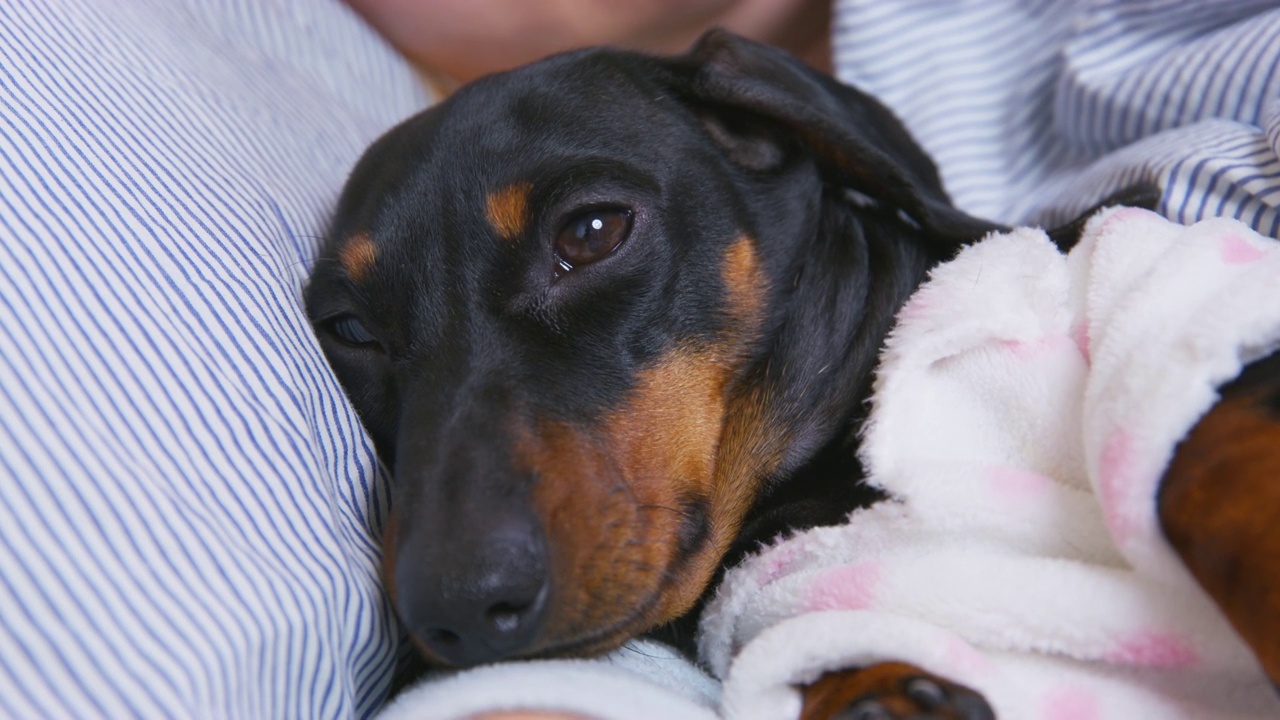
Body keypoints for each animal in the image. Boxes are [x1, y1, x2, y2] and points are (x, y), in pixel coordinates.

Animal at [309, 30, 1280, 712]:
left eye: (590, 231)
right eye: (349, 328)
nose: (457, 610)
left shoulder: (1166, 308)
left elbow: (1203, 459)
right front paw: (876, 691)